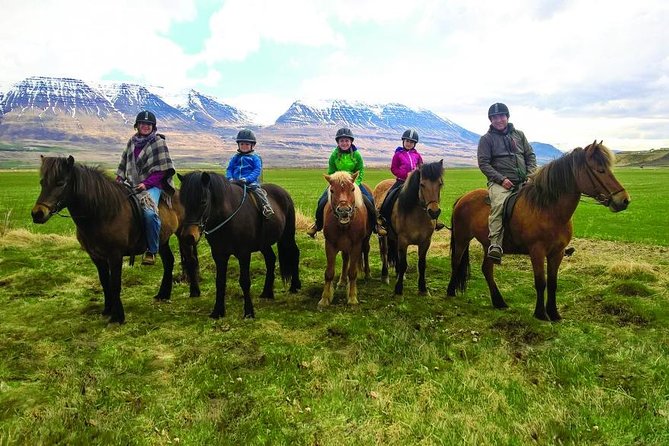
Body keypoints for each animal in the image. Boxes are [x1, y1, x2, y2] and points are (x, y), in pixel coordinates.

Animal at [179, 169, 302, 318]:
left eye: (203, 201)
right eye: (183, 202)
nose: (188, 237)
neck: (227, 217)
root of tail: (283, 192)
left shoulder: (244, 254)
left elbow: (244, 281)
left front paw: (249, 312)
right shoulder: (219, 255)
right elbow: (220, 282)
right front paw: (217, 311)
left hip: (287, 235)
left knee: (294, 253)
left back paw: (295, 286)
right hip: (264, 243)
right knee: (271, 259)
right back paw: (267, 292)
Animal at [318, 170, 370, 306]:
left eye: (352, 189)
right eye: (332, 190)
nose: (344, 211)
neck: (344, 225)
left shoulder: (356, 245)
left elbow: (352, 273)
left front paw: (352, 297)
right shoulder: (330, 245)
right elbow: (329, 273)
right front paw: (325, 298)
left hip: (365, 240)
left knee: (366, 252)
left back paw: (367, 274)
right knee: (345, 259)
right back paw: (341, 281)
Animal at [370, 160, 444, 296]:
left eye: (440, 184)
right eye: (422, 184)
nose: (434, 212)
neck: (417, 215)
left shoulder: (425, 242)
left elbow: (421, 264)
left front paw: (423, 289)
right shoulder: (403, 240)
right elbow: (403, 263)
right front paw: (398, 289)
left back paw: (399, 274)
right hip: (383, 236)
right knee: (385, 253)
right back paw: (385, 276)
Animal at [446, 141, 628, 318]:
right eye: (600, 170)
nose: (624, 200)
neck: (549, 210)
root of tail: (463, 197)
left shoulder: (557, 253)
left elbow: (553, 283)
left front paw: (554, 313)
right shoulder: (537, 251)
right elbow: (541, 282)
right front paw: (540, 313)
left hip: (487, 245)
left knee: (487, 269)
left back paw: (499, 301)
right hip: (462, 238)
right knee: (456, 262)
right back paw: (451, 291)